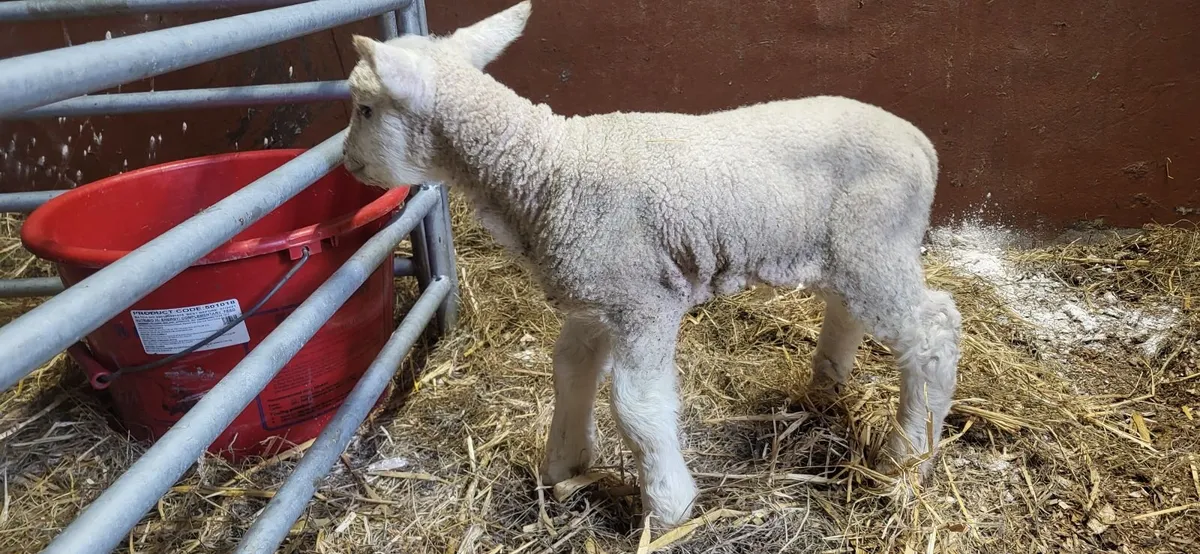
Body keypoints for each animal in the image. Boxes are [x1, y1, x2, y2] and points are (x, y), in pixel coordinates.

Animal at [342, 1, 962, 528]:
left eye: (365, 109)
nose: (347, 163)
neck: (552, 169)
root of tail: (924, 145)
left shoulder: (644, 302)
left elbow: (638, 408)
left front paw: (668, 508)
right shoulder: (594, 299)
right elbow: (570, 371)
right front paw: (565, 463)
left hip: (876, 243)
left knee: (932, 332)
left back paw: (909, 457)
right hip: (850, 250)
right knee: (848, 310)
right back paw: (826, 387)